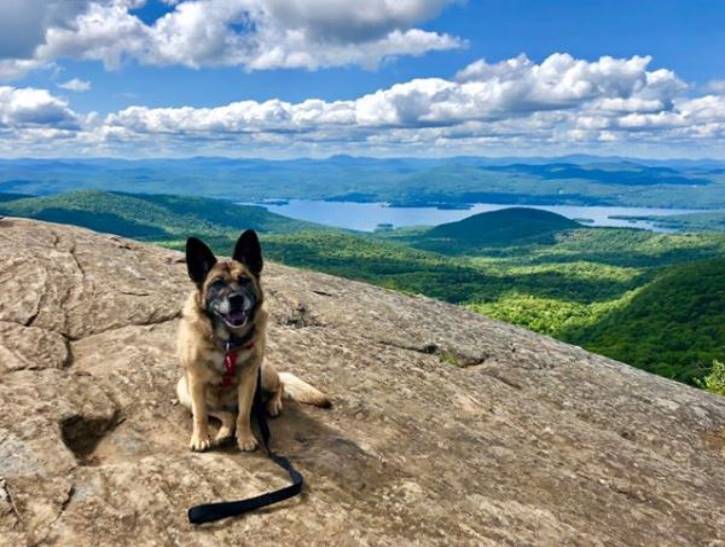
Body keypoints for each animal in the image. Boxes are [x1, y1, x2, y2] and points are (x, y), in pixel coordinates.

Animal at [177, 229, 330, 452]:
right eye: (217, 283)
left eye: (244, 280)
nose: (236, 299)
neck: (228, 343)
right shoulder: (196, 383)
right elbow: (201, 415)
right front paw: (200, 437)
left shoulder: (249, 380)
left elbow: (244, 415)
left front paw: (245, 437)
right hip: (184, 390)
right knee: (225, 414)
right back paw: (224, 433)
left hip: (263, 373)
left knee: (278, 386)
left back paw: (273, 404)